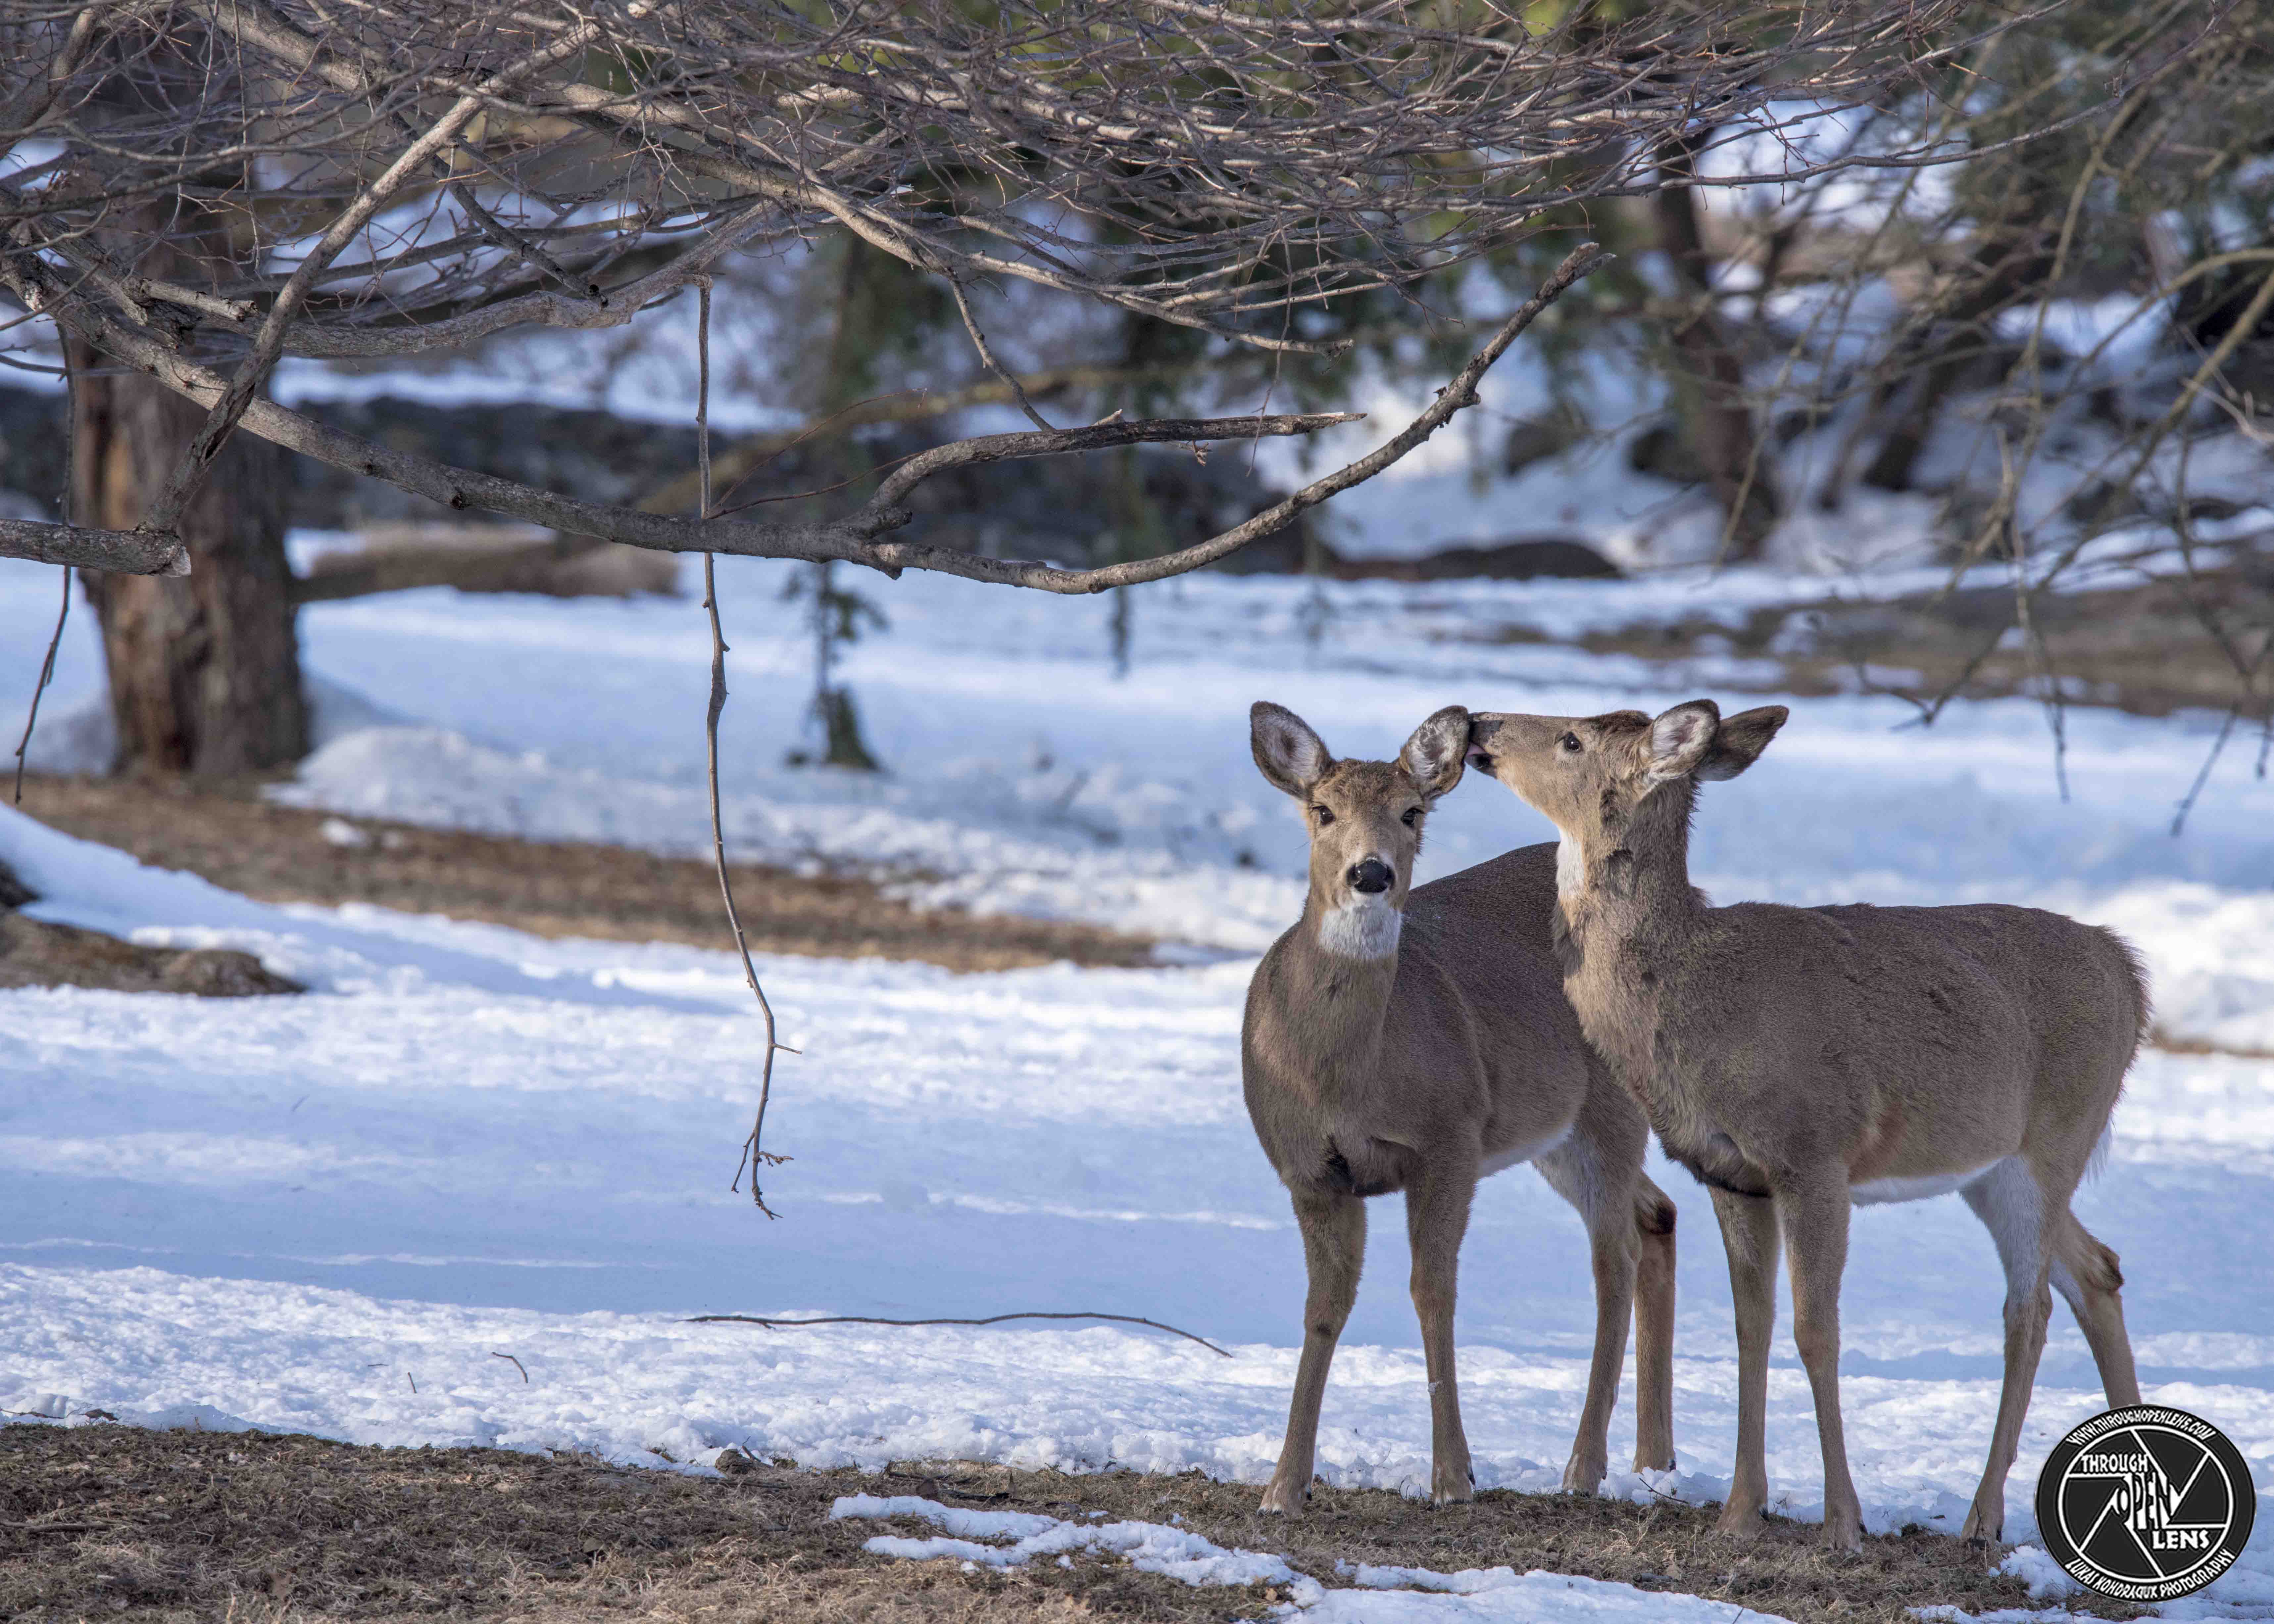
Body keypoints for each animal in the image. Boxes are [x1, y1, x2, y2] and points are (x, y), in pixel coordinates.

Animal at [1242, 700, 1678, 1514]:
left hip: (1608, 1106)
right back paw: (1654, 1459)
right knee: (1658, 1214)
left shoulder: (1450, 1138)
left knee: (1615, 1259)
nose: (1370, 873)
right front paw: (1284, 1484)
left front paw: (1452, 1475)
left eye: (1411, 812)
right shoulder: (1308, 1168)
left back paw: (1585, 1465)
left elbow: (1432, 1290)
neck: (1341, 1079)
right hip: (1552, 1135)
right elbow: (1323, 1308)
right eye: (1322, 811)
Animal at [1461, 699, 2146, 1552]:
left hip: (2054, 1134)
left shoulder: (1813, 1155)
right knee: (2097, 1269)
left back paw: (1981, 1516)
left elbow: (1816, 1330)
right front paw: (1737, 1512)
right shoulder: (1729, 1171)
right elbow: (1750, 1328)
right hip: (1988, 1166)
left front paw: (1841, 1520)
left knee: (2029, 1309)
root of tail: (2129, 972)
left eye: (1572, 738)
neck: (1689, 997)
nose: (1479, 724)